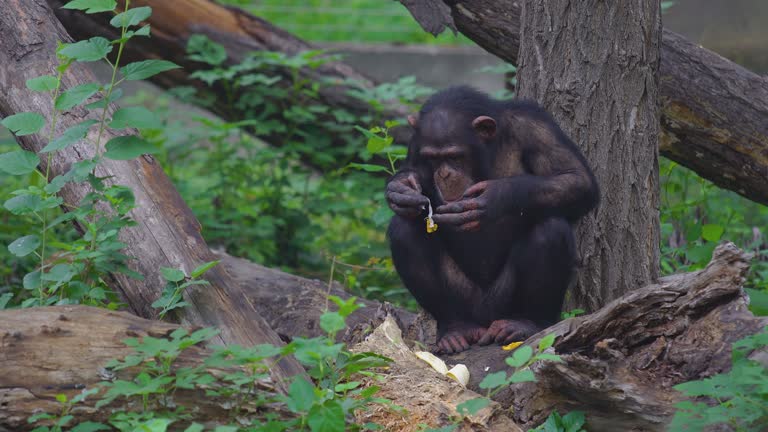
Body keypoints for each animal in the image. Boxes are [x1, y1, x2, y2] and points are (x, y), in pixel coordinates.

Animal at [388, 85, 596, 354]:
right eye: (433, 158)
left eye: (454, 157)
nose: (444, 174)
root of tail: (485, 321)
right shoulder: (417, 141)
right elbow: (411, 171)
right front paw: (400, 190)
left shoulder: (535, 125)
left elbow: (576, 179)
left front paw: (493, 198)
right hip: (465, 300)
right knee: (403, 230)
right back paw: (455, 328)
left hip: (503, 302)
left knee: (550, 228)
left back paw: (526, 323)